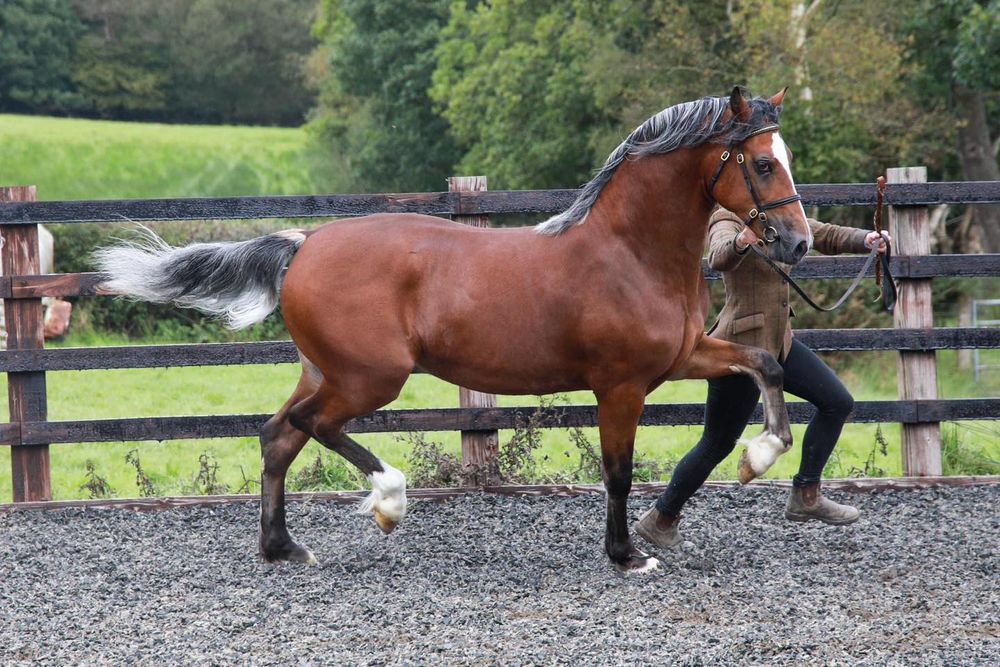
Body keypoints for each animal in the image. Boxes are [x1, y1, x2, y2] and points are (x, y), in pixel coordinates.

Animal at [96, 86, 811, 573]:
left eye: (786, 157)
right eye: (762, 163)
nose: (799, 242)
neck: (630, 252)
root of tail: (305, 244)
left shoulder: (686, 355)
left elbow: (766, 364)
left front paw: (761, 454)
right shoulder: (622, 386)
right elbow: (618, 472)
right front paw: (627, 555)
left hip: (324, 370)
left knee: (277, 436)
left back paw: (283, 548)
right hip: (371, 377)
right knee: (311, 426)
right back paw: (388, 501)